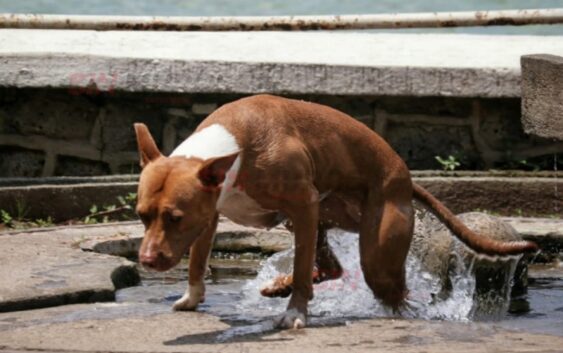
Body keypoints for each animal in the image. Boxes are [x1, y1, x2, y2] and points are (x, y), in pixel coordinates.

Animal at [133, 93, 536, 328]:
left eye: (175, 218)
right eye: (141, 215)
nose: (148, 260)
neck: (233, 146)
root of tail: (406, 179)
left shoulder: (302, 202)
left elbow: (299, 267)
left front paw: (295, 313)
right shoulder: (211, 213)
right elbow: (197, 260)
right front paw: (191, 298)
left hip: (373, 250)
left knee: (392, 291)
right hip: (324, 216)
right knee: (332, 266)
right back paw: (278, 286)